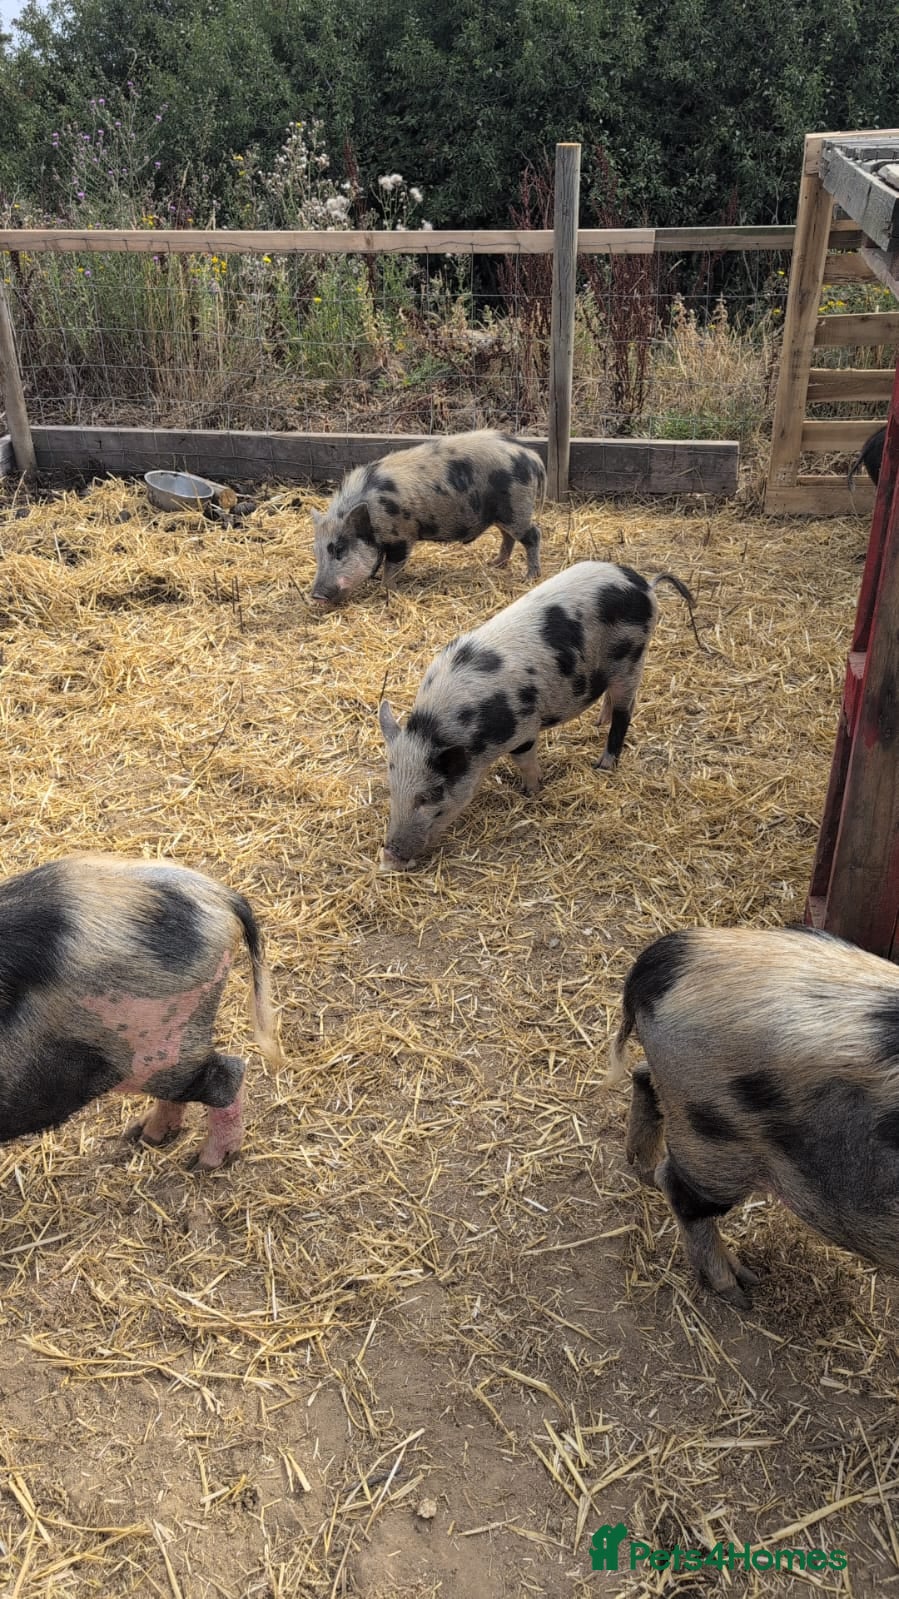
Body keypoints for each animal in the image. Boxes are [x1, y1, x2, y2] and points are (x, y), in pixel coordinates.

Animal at [310, 429, 546, 605]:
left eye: (339, 549)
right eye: (316, 552)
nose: (316, 595)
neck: (374, 513)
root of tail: (532, 457)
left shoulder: (402, 536)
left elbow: (392, 567)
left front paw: (391, 593)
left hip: (517, 507)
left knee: (533, 535)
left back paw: (529, 577)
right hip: (504, 514)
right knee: (508, 537)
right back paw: (494, 564)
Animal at [377, 561, 695, 871]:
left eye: (430, 796)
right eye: (392, 789)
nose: (390, 853)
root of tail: (644, 585)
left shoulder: (524, 727)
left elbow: (524, 761)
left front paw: (530, 791)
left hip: (632, 657)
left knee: (624, 712)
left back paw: (603, 766)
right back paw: (597, 722)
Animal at [607, 924, 899, 1309]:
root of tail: (669, 956)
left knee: (642, 1078)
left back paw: (640, 1164)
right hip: (713, 1140)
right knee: (678, 1189)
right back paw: (740, 1289)